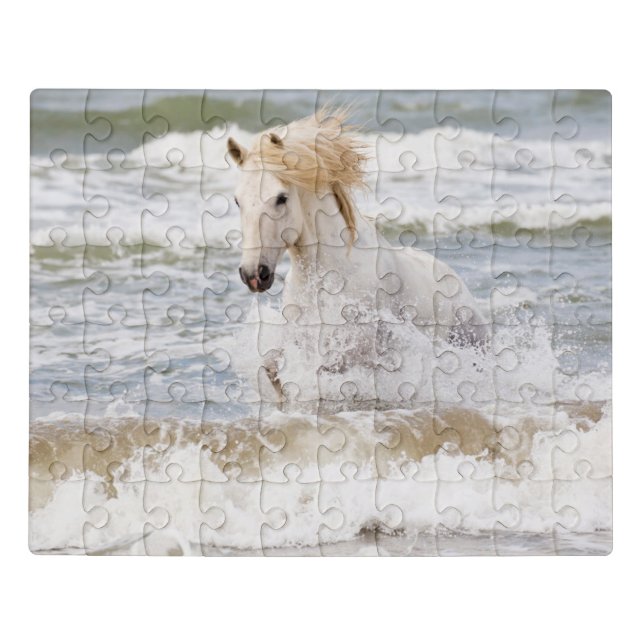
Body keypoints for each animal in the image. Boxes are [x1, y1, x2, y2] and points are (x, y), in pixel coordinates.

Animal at [227, 108, 489, 403]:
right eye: (237, 200)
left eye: (281, 198)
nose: (253, 274)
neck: (330, 274)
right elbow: (272, 365)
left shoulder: (355, 351)